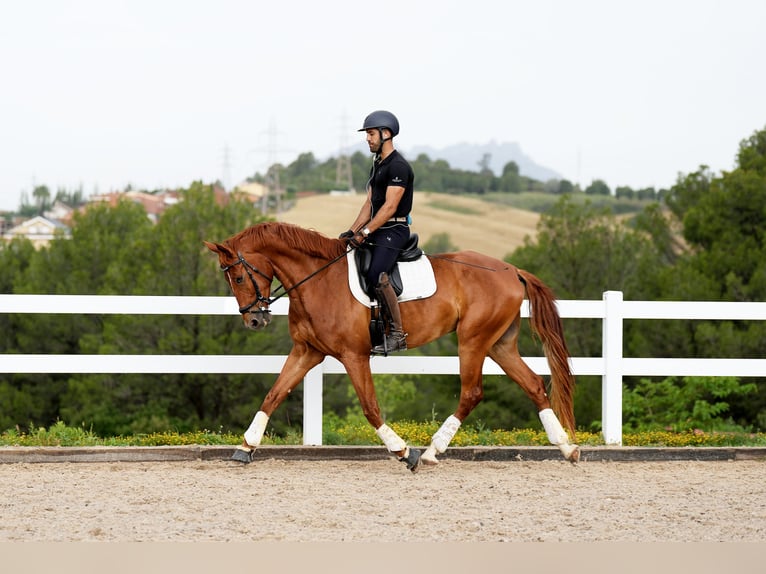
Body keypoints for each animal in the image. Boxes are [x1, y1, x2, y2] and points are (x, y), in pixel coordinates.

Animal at [206, 222, 584, 472]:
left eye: (237, 277)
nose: (254, 321)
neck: (317, 279)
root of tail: (511, 269)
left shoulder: (353, 356)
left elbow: (370, 407)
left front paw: (404, 451)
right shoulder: (307, 351)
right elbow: (273, 394)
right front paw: (245, 447)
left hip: (473, 340)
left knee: (472, 392)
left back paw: (430, 452)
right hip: (499, 344)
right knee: (532, 384)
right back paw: (567, 448)